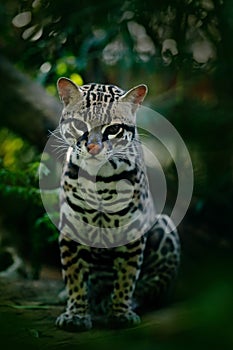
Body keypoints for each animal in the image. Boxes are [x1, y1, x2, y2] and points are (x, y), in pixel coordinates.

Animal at [54, 78, 180, 332]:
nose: (93, 148)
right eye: (80, 125)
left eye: (112, 129)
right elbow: (75, 277)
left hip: (165, 226)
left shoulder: (132, 231)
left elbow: (126, 276)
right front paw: (76, 315)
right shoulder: (71, 230)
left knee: (152, 286)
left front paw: (120, 312)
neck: (99, 181)